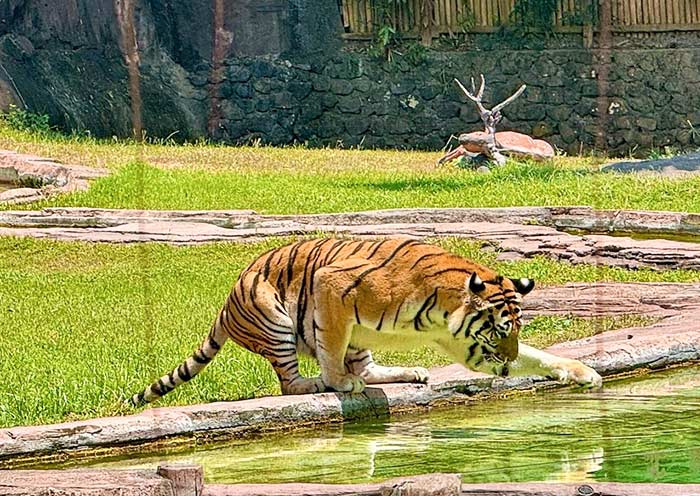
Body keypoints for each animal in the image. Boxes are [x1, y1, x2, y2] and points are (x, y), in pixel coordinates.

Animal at [130, 237, 601, 406]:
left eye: (517, 332)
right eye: (500, 330)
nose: (504, 365)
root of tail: (226, 306)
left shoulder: (464, 344)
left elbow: (539, 357)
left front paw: (581, 372)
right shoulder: (330, 285)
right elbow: (329, 348)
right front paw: (337, 382)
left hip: (361, 341)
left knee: (369, 368)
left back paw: (410, 373)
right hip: (275, 320)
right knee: (289, 382)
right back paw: (321, 383)